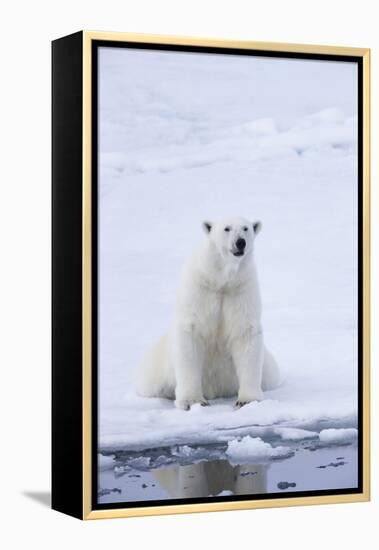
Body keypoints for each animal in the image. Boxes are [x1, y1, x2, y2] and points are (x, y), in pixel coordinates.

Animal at [138, 218, 280, 412]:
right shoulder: (199, 290)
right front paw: (193, 401)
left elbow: (245, 333)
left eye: (246, 228)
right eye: (227, 228)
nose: (240, 242)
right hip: (157, 367)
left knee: (272, 375)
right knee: (150, 383)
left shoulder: (241, 290)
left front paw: (247, 401)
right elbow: (190, 335)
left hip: (267, 368)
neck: (221, 280)